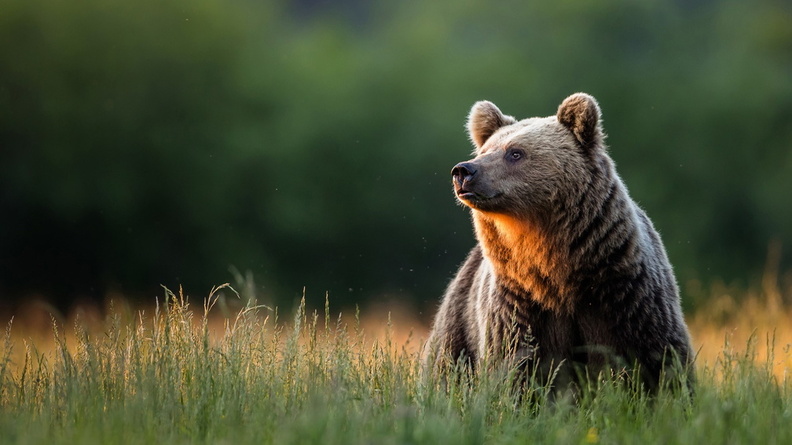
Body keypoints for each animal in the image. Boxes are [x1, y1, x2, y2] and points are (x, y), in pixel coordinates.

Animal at [423, 93, 694, 394]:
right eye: (483, 152)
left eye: (515, 152)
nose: (464, 171)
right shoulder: (519, 307)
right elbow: (515, 370)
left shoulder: (625, 296)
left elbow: (659, 361)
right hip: (458, 322)